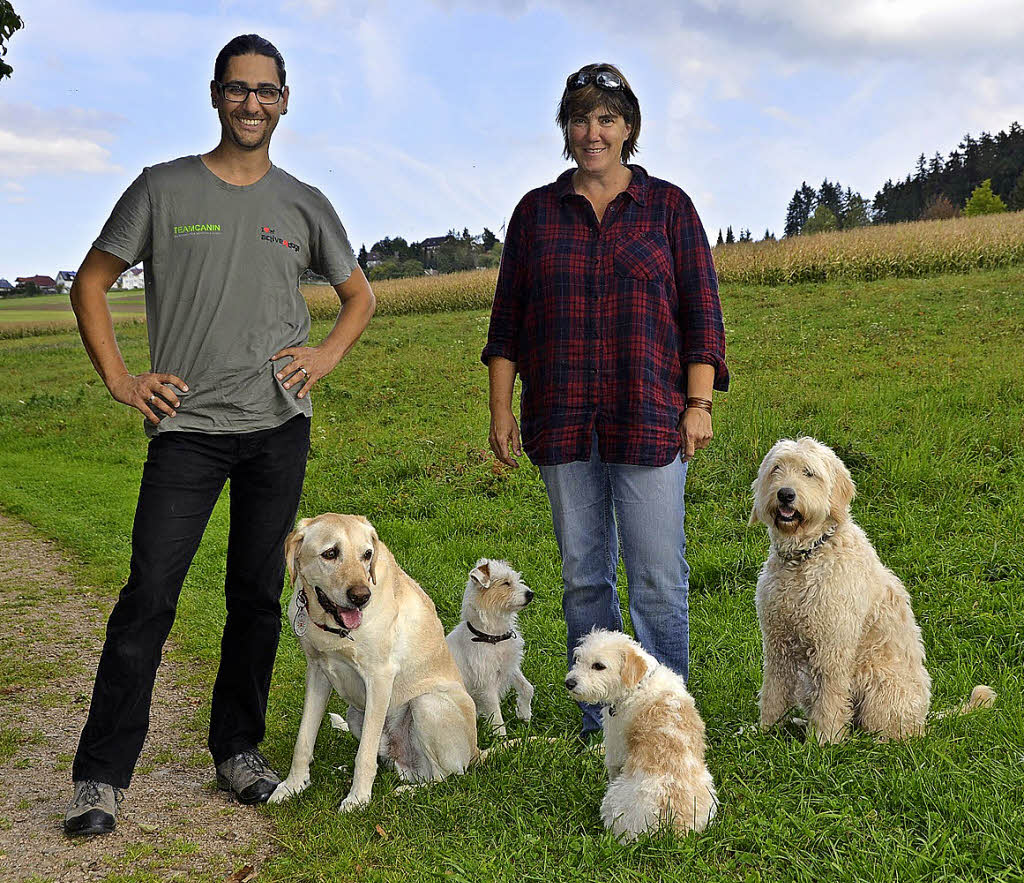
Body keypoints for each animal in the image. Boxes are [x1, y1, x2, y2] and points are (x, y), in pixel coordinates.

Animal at [446, 561, 536, 741]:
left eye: (516, 579)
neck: (491, 637)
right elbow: (497, 718)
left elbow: (527, 688)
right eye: (506, 583)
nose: (531, 594)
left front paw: (524, 713)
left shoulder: (510, 667)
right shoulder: (486, 685)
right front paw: (503, 743)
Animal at [565, 631, 716, 844]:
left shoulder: (614, 744)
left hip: (613, 803)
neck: (639, 684)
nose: (569, 683)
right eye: (578, 658)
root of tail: (675, 827)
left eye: (599, 665)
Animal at [749, 438, 995, 741]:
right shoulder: (777, 643)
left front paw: (824, 741)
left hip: (879, 681)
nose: (785, 494)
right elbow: (773, 691)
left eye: (809, 472)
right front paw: (766, 730)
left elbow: (829, 698)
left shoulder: (832, 647)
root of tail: (924, 719)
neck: (807, 555)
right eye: (777, 469)